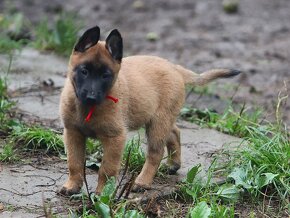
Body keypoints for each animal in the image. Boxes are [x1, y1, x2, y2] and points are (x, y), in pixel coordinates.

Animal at [59, 26, 240, 196]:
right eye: (84, 71)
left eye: (105, 75)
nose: (91, 97)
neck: (87, 108)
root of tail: (175, 68)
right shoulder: (73, 133)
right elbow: (74, 163)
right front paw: (72, 186)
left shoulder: (115, 138)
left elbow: (107, 169)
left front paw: (103, 193)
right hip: (161, 119)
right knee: (174, 132)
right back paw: (173, 164)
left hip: (158, 124)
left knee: (156, 153)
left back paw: (143, 182)